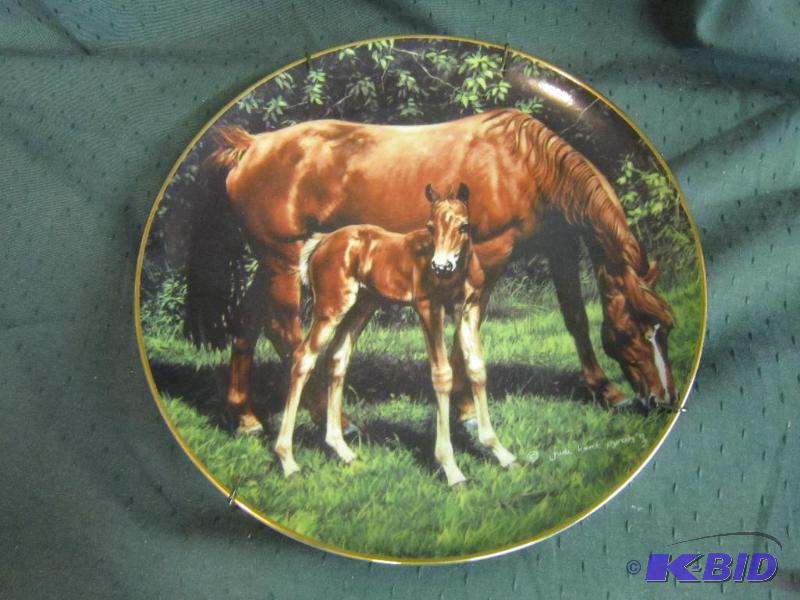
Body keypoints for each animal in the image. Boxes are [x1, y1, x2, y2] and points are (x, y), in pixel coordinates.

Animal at [190, 108, 675, 435]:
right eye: (633, 330)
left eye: (665, 328)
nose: (664, 399)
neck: (524, 164)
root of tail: (250, 146)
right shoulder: (489, 255)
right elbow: (467, 333)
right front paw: (466, 411)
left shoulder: (559, 247)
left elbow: (575, 316)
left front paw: (606, 391)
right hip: (283, 261)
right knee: (286, 333)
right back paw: (336, 422)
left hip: (274, 261)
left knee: (247, 323)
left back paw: (245, 416)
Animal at [273, 183, 516, 485]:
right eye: (430, 227)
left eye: (464, 226)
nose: (441, 266)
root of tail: (322, 241)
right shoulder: (429, 308)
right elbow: (442, 374)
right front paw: (451, 468)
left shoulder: (467, 310)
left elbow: (476, 369)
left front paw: (500, 451)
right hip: (331, 307)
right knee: (304, 357)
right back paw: (287, 460)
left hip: (363, 305)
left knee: (338, 357)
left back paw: (342, 449)